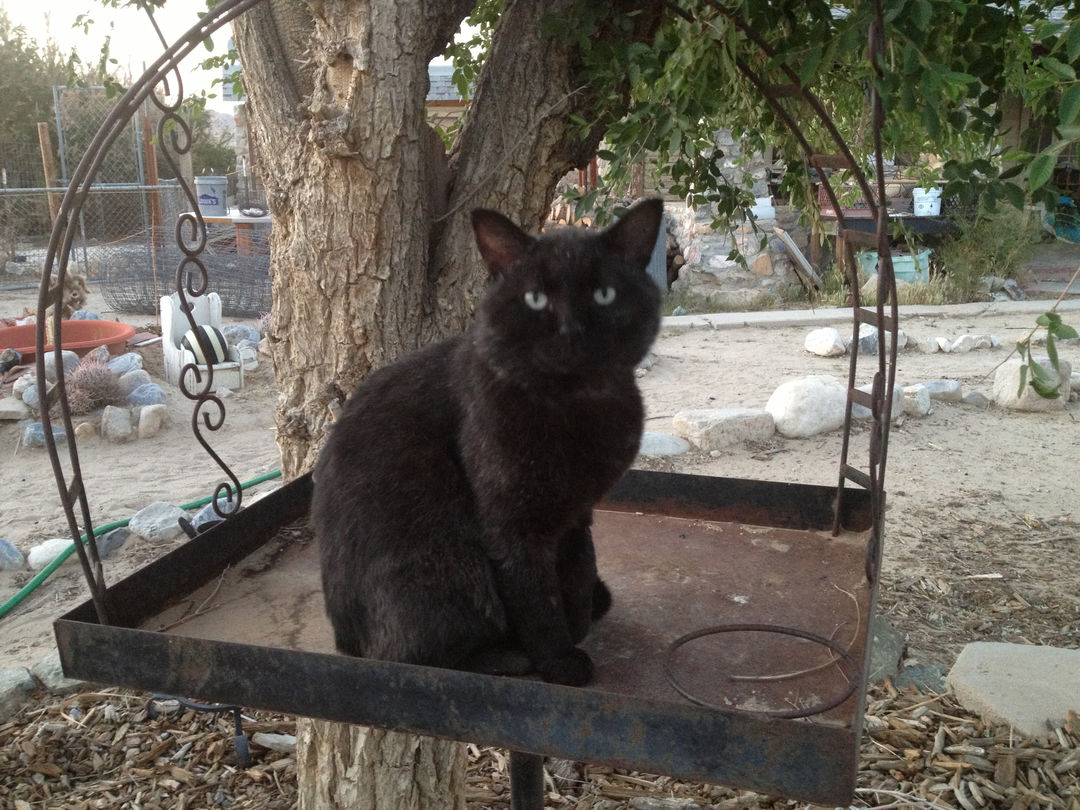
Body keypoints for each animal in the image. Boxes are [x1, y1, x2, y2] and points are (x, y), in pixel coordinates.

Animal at [312, 198, 663, 686]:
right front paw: (559, 660)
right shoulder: (511, 524)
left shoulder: (577, 513)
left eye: (604, 295)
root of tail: (344, 641)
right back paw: (508, 657)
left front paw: (580, 618)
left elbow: (578, 567)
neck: (573, 411)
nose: (570, 332)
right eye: (535, 299)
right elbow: (536, 597)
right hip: (449, 564)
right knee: (408, 657)